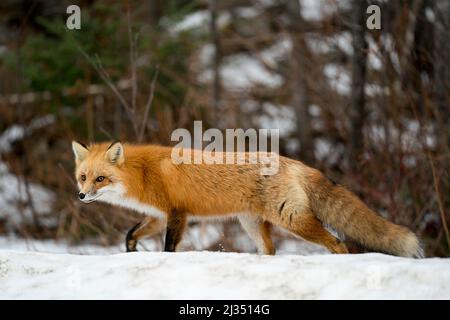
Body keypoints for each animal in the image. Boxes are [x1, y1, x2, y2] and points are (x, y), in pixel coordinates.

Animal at [72, 141, 424, 258]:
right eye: (83, 177)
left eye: (100, 179)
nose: (81, 195)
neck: (144, 173)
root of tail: (295, 162)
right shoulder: (158, 215)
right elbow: (130, 234)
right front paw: (130, 253)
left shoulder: (177, 213)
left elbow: (169, 247)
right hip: (252, 224)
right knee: (270, 250)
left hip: (292, 220)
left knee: (338, 244)